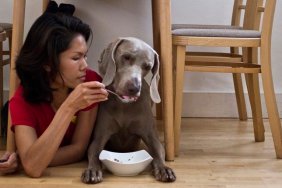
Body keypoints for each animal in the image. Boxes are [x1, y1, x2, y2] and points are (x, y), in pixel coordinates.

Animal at [80, 37, 175, 184]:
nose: (134, 88)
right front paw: (92, 170)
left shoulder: (150, 135)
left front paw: (164, 168)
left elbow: (158, 152)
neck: (124, 105)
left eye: (147, 67)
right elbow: (94, 151)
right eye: (126, 57)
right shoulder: (100, 136)